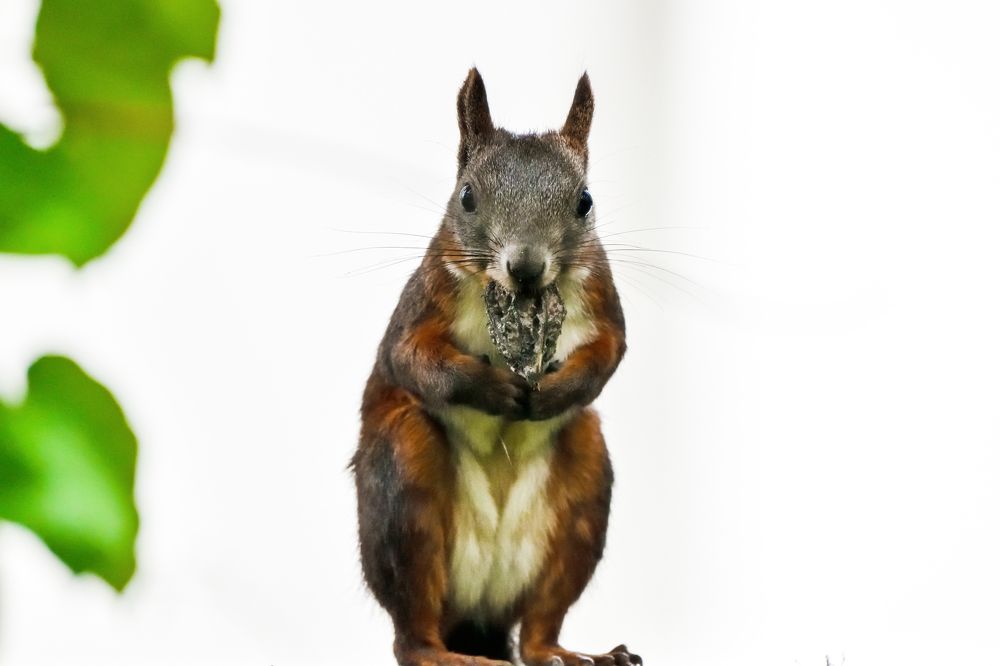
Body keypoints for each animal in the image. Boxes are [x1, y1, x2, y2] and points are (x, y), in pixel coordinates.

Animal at [351, 69, 638, 666]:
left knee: (538, 632)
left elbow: (611, 352)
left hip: (583, 481)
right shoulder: (426, 297)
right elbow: (409, 358)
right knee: (410, 634)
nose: (526, 266)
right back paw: (440, 653)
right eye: (467, 197)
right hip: (403, 484)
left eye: (585, 201)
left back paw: (572, 653)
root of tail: (478, 615)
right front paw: (491, 388)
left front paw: (554, 393)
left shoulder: (601, 294)